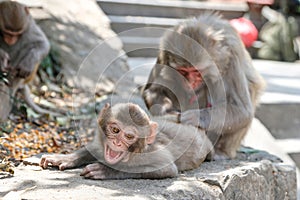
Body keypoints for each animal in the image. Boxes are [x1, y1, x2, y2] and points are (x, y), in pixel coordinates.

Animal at [40, 103, 213, 180]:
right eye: (115, 130)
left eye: (129, 136)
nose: (117, 143)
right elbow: (93, 149)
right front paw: (64, 157)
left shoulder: (152, 153)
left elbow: (167, 169)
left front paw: (105, 170)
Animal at [142, 12, 264, 159]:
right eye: (183, 71)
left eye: (196, 72)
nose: (191, 83)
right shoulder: (163, 54)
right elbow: (153, 90)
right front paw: (165, 110)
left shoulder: (232, 56)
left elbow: (242, 110)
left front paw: (196, 117)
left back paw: (220, 151)